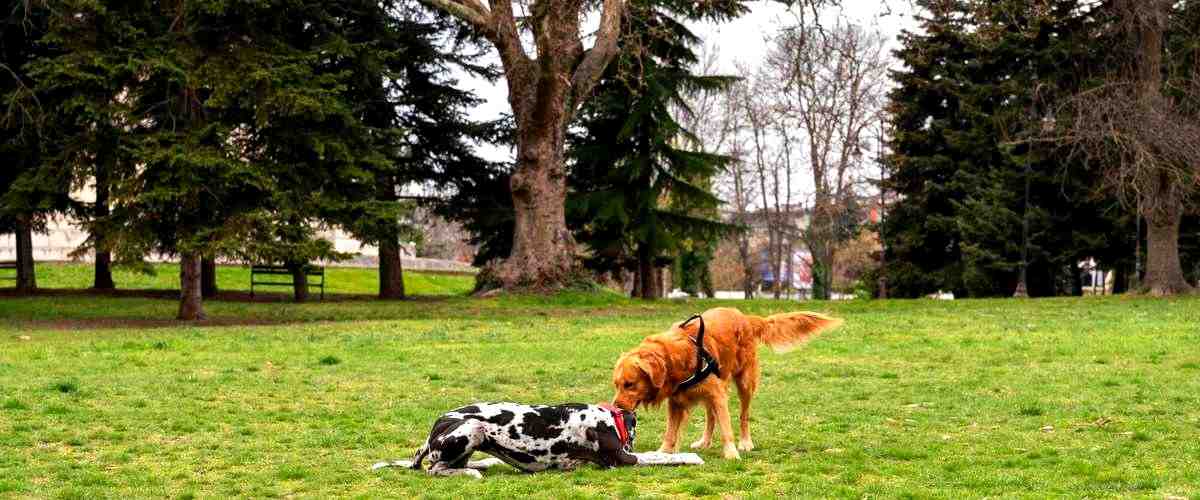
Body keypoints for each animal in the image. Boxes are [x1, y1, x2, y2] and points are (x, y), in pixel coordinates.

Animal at [614, 305, 840, 458]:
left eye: (629, 384)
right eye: (616, 385)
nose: (616, 407)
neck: (677, 356)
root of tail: (744, 317)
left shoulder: (717, 394)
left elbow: (726, 428)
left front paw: (731, 453)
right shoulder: (677, 401)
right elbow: (670, 432)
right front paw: (664, 452)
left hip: (744, 384)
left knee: (743, 416)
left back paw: (745, 442)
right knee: (710, 418)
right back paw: (705, 441)